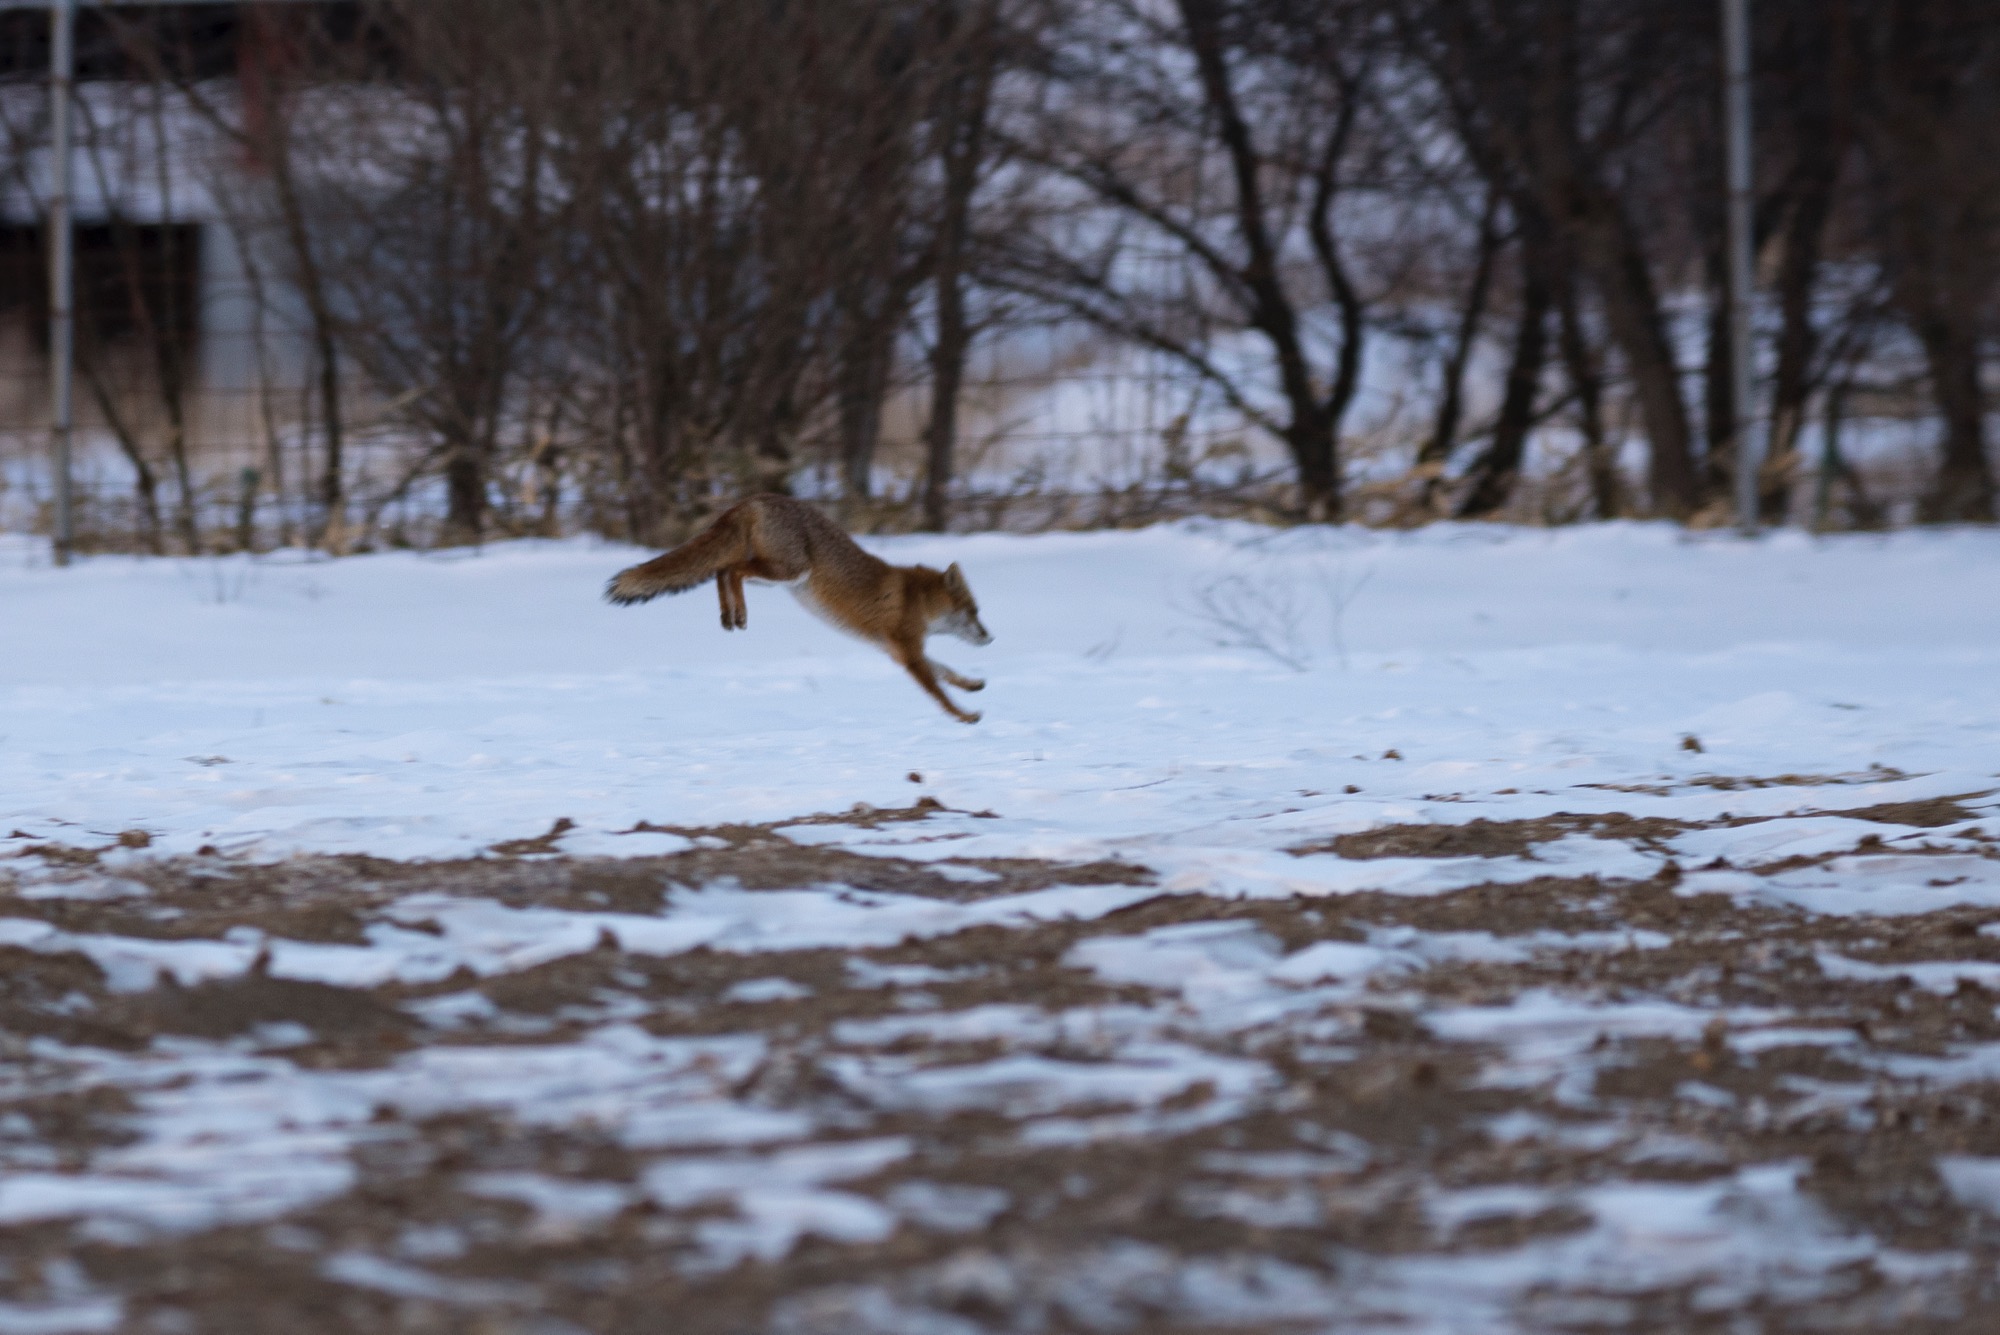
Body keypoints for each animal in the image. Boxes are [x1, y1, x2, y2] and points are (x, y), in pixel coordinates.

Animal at [600, 493, 992, 719]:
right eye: (974, 611)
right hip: (788, 570)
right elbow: (939, 693)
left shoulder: (898, 652)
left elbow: (945, 671)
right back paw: (738, 615)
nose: (991, 638)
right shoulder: (908, 653)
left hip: (778, 577)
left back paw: (729, 615)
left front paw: (972, 684)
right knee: (731, 569)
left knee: (723, 571)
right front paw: (963, 716)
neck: (918, 599)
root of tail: (758, 498)